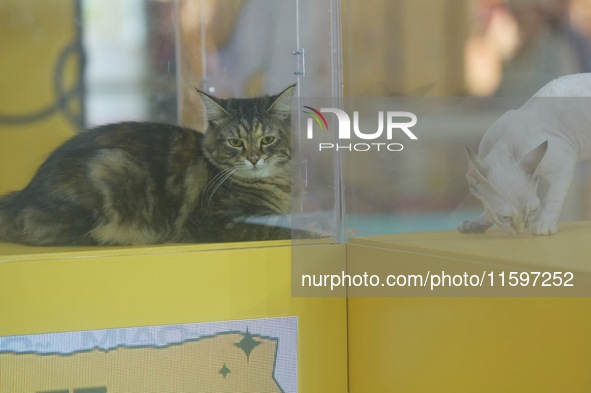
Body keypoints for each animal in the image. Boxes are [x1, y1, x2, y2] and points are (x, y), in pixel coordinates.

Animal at [0, 86, 298, 245]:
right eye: (236, 142)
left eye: (267, 139)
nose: (254, 158)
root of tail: (23, 194)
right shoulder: (223, 222)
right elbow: (279, 228)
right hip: (111, 167)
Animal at [460, 72, 591, 234]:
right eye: (505, 218)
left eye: (533, 211)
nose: (521, 231)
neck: (506, 142)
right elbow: (487, 211)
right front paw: (475, 225)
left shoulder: (564, 163)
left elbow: (553, 197)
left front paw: (544, 224)